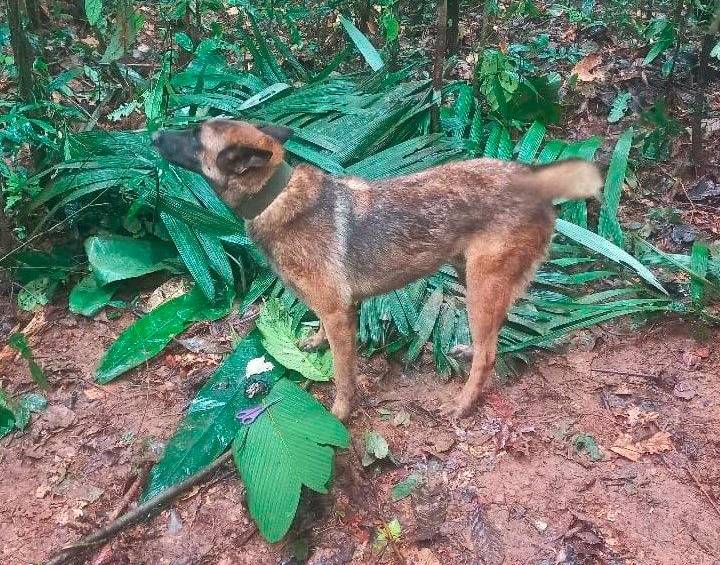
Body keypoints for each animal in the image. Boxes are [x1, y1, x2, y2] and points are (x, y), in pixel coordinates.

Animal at [155, 119, 604, 418]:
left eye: (194, 135)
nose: (154, 135)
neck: (275, 196)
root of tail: (534, 180)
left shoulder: (338, 313)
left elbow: (342, 374)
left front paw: (340, 412)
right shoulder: (338, 310)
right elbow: (323, 337)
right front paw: (314, 342)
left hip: (481, 284)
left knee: (490, 353)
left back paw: (463, 403)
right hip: (471, 276)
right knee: (494, 333)